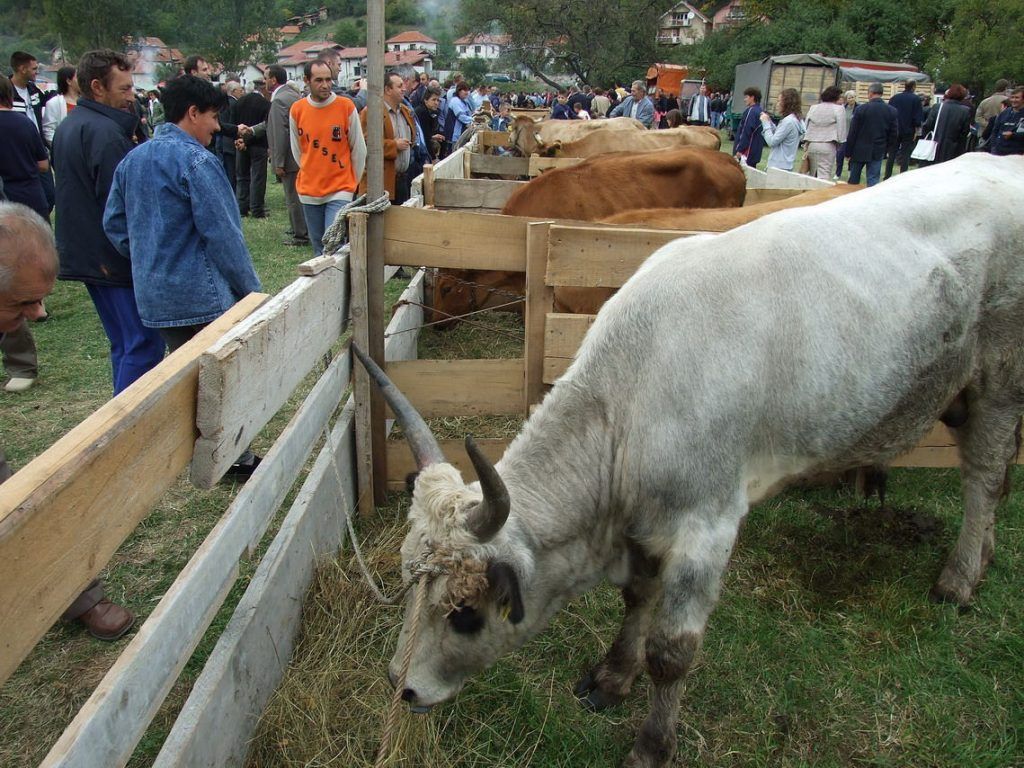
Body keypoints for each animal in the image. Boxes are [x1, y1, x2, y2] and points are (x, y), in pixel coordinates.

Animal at [356, 156, 1024, 768]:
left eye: (465, 613)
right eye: (408, 580)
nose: (400, 686)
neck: (632, 395)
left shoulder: (707, 526)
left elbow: (672, 652)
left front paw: (652, 745)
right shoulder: (644, 529)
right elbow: (636, 601)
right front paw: (612, 676)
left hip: (998, 381)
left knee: (984, 477)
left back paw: (960, 577)